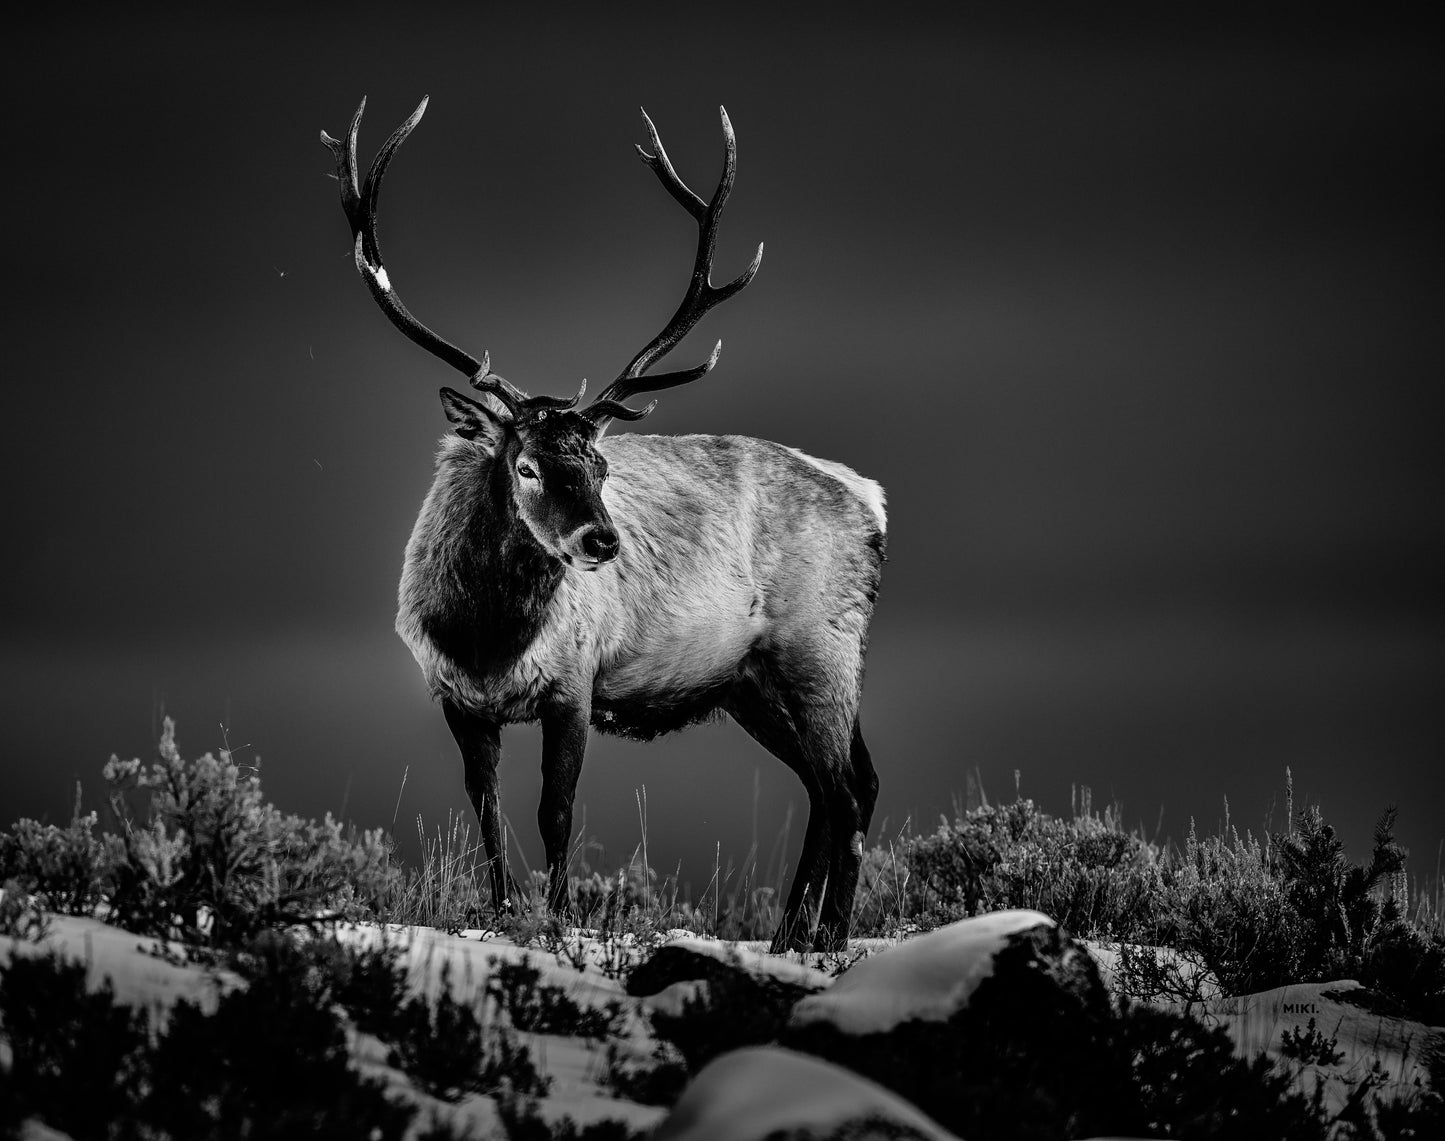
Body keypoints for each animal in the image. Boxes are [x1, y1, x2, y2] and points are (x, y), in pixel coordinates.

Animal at [321, 97, 886, 951]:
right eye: (524, 465)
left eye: (600, 465)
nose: (602, 541)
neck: (485, 636)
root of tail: (871, 501)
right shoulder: (454, 696)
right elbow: (485, 812)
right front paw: (502, 911)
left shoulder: (574, 681)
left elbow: (555, 812)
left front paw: (558, 922)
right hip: (750, 681)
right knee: (839, 788)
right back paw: (791, 933)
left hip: (822, 646)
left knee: (847, 791)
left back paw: (827, 941)